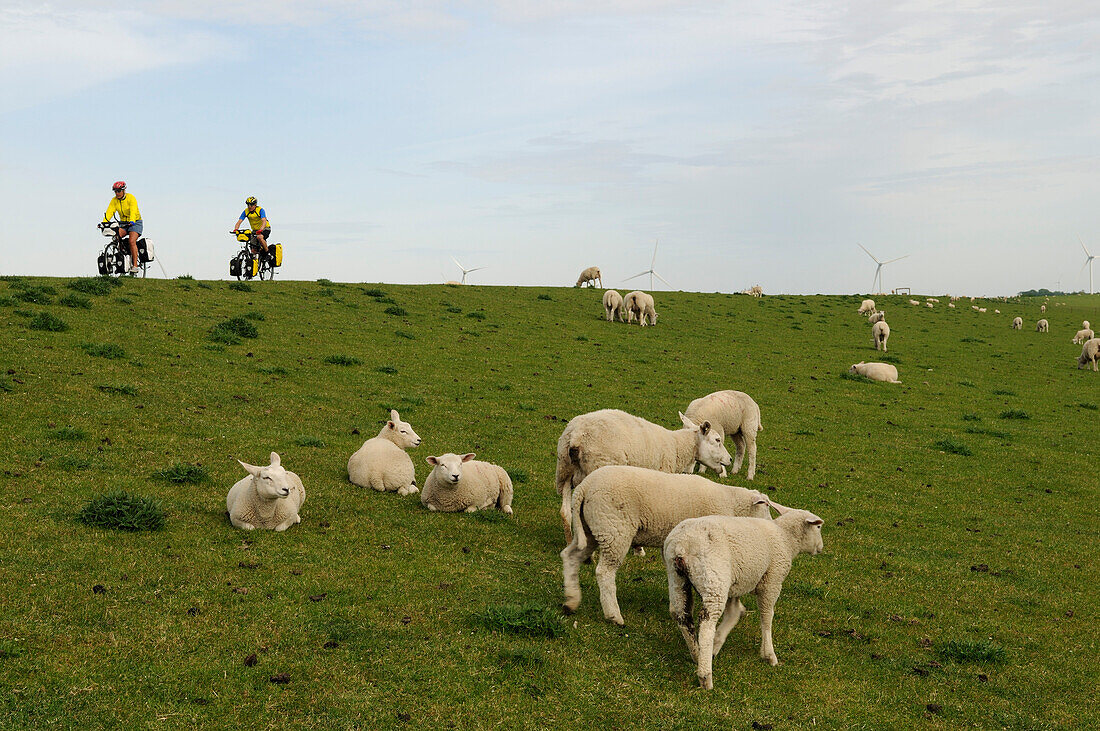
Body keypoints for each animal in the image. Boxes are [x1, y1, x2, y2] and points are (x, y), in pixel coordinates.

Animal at [554, 406, 734, 545]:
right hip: (597, 470)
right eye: (717, 440)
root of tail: (576, 436)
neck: (677, 447)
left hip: (564, 473)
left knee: (565, 512)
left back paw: (570, 542)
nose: (730, 459)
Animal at [558, 463, 774, 624]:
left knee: (570, 556)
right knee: (605, 572)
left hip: (592, 529)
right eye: (765, 507)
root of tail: (584, 487)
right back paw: (614, 615)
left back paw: (571, 600)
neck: (731, 504)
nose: (771, 526)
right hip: (614, 529)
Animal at [660, 507, 827, 690]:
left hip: (677, 577)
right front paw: (769, 655)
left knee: (682, 616)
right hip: (714, 578)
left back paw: (698, 654)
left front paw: (717, 644)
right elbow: (766, 616)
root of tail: (682, 544)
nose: (821, 548)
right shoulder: (771, 581)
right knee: (706, 623)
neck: (785, 538)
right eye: (818, 527)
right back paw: (705, 677)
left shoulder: (735, 584)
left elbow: (734, 613)